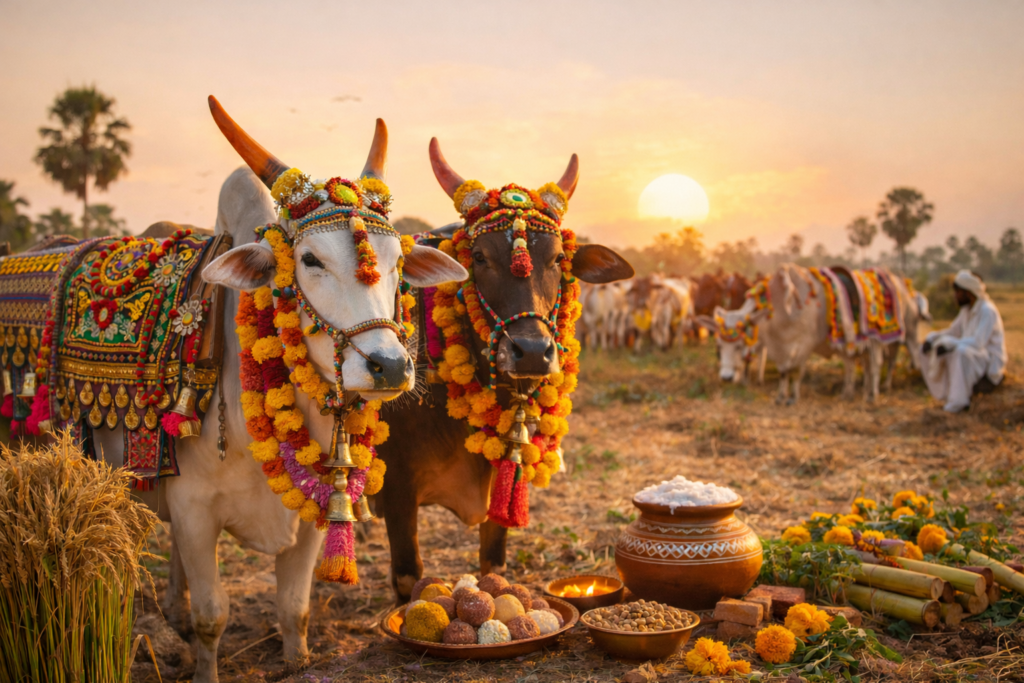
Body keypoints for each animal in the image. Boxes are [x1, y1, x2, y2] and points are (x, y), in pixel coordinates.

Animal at [87, 100, 467, 683]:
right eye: (309, 259)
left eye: (398, 261)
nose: (388, 366)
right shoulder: (195, 512)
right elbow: (213, 616)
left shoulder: (312, 512)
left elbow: (295, 608)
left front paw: (296, 661)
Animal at [373, 139, 633, 601]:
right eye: (479, 257)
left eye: (559, 258)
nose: (531, 352)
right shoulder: (397, 488)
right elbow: (408, 576)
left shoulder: (505, 476)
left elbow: (493, 562)